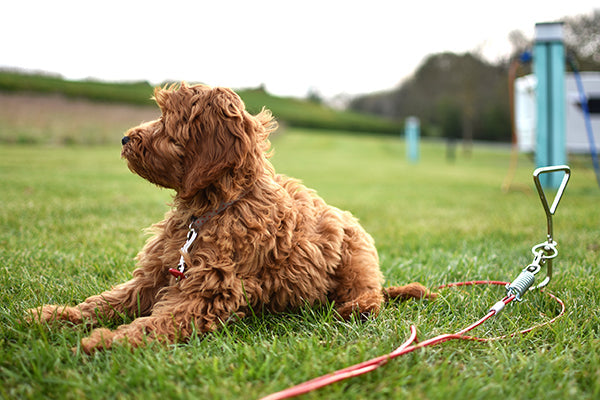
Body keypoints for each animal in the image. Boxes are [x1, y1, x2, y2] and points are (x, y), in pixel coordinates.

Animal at [28, 83, 434, 352]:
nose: (125, 138)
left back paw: (355, 308)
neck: (209, 209)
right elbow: (108, 301)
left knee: (371, 294)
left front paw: (107, 341)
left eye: (167, 119)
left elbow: (159, 323)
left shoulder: (208, 291)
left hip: (355, 254)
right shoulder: (155, 275)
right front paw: (56, 316)